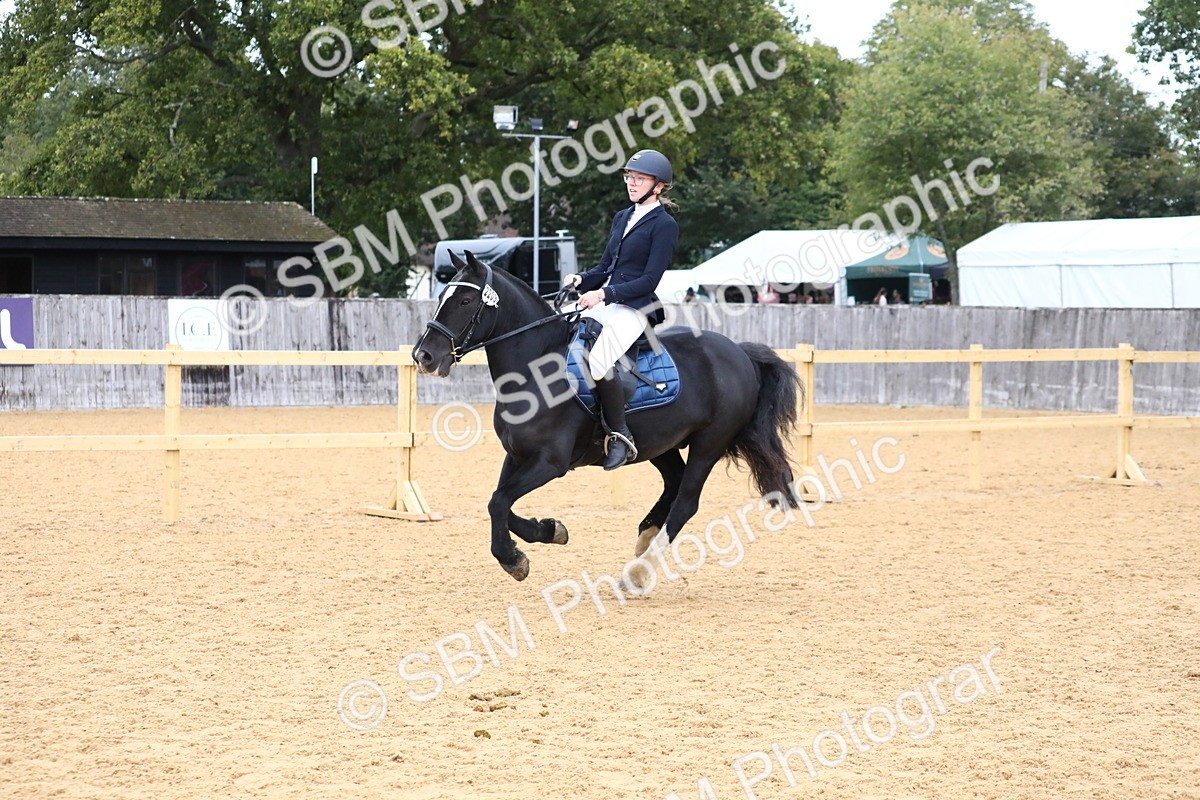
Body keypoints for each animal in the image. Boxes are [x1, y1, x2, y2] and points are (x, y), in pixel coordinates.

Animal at [412, 251, 804, 582]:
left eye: (465, 301)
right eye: (442, 296)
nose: (424, 356)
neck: (535, 370)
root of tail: (739, 351)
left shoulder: (549, 463)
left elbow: (498, 502)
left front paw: (513, 559)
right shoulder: (518, 455)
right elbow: (500, 502)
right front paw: (550, 531)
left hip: (708, 445)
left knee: (686, 502)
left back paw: (639, 574)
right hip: (660, 444)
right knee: (673, 483)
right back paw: (645, 538)